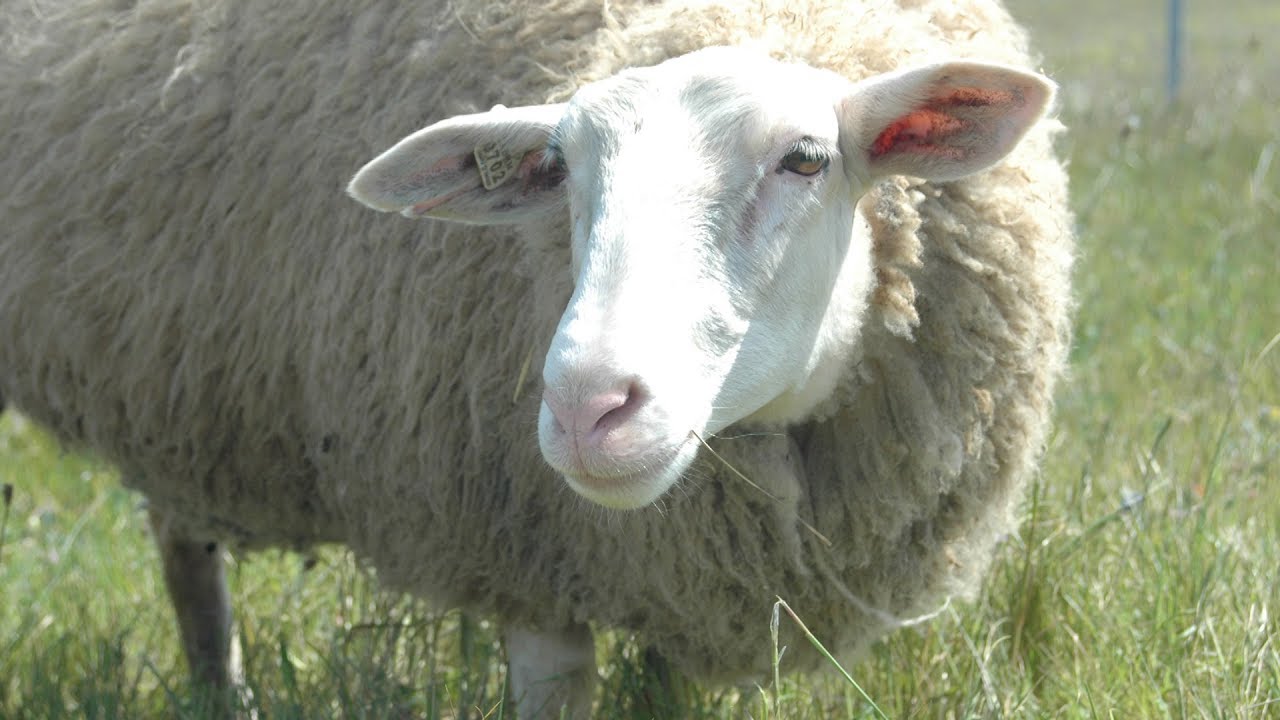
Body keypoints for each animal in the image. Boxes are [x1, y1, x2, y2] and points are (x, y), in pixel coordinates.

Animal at [0, 0, 1073, 717]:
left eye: (806, 159)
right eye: (558, 168)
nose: (588, 406)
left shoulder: (677, 579)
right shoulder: (524, 552)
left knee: (185, 548)